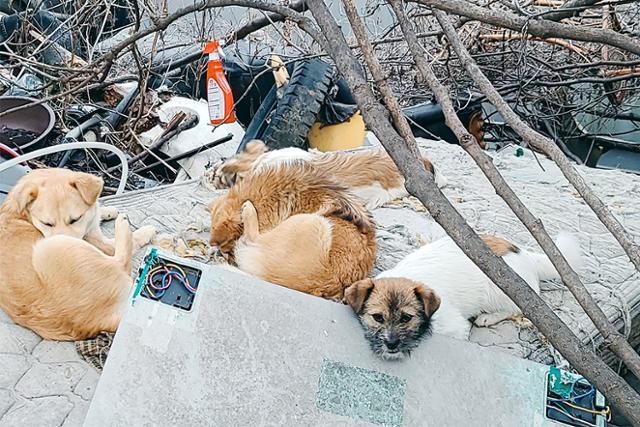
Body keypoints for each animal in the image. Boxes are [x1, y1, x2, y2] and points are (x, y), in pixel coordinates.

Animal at [0, 169, 155, 340]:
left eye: (75, 219)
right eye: (47, 223)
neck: (21, 214)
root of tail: (101, 321)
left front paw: (106, 210)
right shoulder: (98, 241)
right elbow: (128, 241)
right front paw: (143, 232)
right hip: (51, 247)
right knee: (123, 262)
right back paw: (123, 224)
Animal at [348, 232, 584, 360]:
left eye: (406, 318)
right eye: (378, 318)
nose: (391, 345)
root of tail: (525, 254)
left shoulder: (455, 328)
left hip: (501, 291)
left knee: (517, 308)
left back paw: (487, 317)